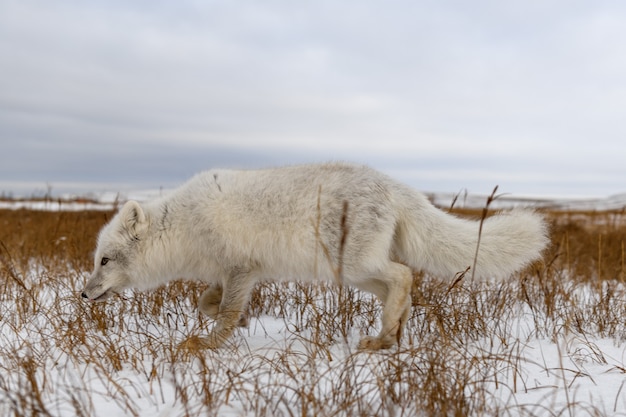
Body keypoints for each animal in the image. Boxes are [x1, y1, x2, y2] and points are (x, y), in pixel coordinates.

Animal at [80, 161, 544, 350]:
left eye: (104, 261)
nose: (83, 295)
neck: (182, 226)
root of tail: (394, 184)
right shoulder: (231, 272)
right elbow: (207, 302)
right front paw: (239, 321)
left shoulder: (241, 269)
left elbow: (223, 312)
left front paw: (208, 344)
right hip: (354, 274)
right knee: (403, 291)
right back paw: (389, 336)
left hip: (356, 265)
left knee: (404, 277)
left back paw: (383, 337)